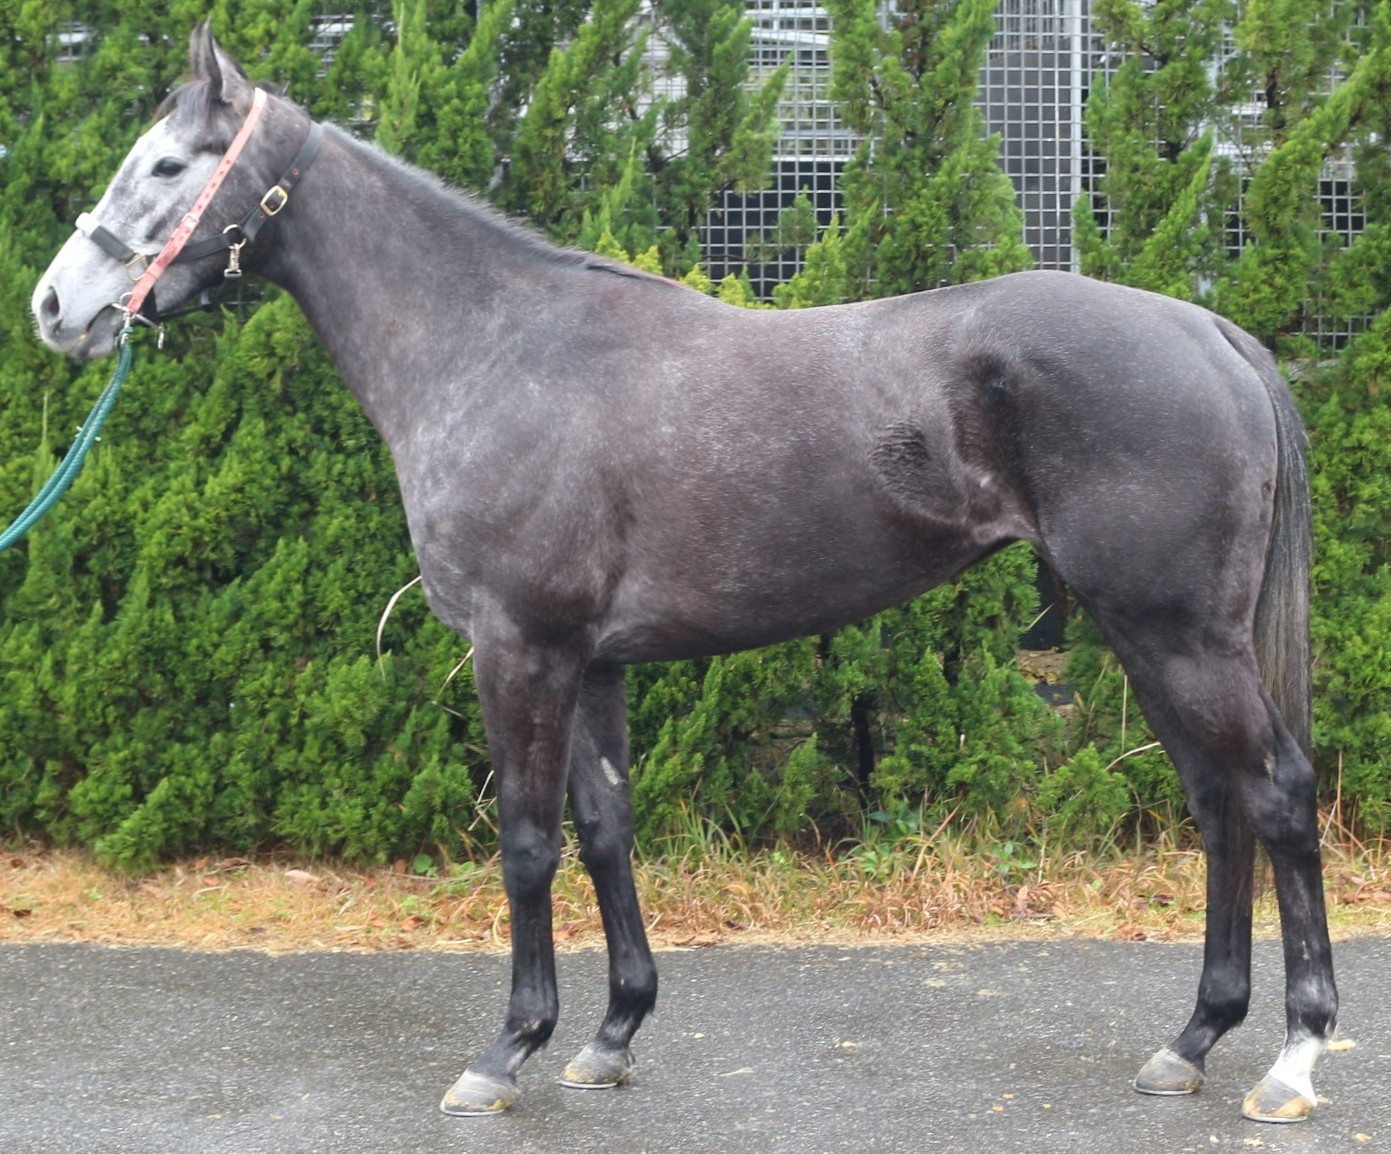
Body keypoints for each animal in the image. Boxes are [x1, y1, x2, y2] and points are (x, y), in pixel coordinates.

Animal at [31, 24, 1336, 1124]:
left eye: (164, 165)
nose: (55, 306)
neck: (492, 347)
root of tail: (1209, 330)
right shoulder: (592, 660)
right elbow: (606, 826)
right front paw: (608, 1036)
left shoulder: (519, 647)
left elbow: (525, 839)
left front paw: (505, 1051)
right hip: (1143, 634)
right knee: (1216, 803)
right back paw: (1189, 1039)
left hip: (1177, 632)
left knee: (1273, 792)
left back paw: (1290, 1056)